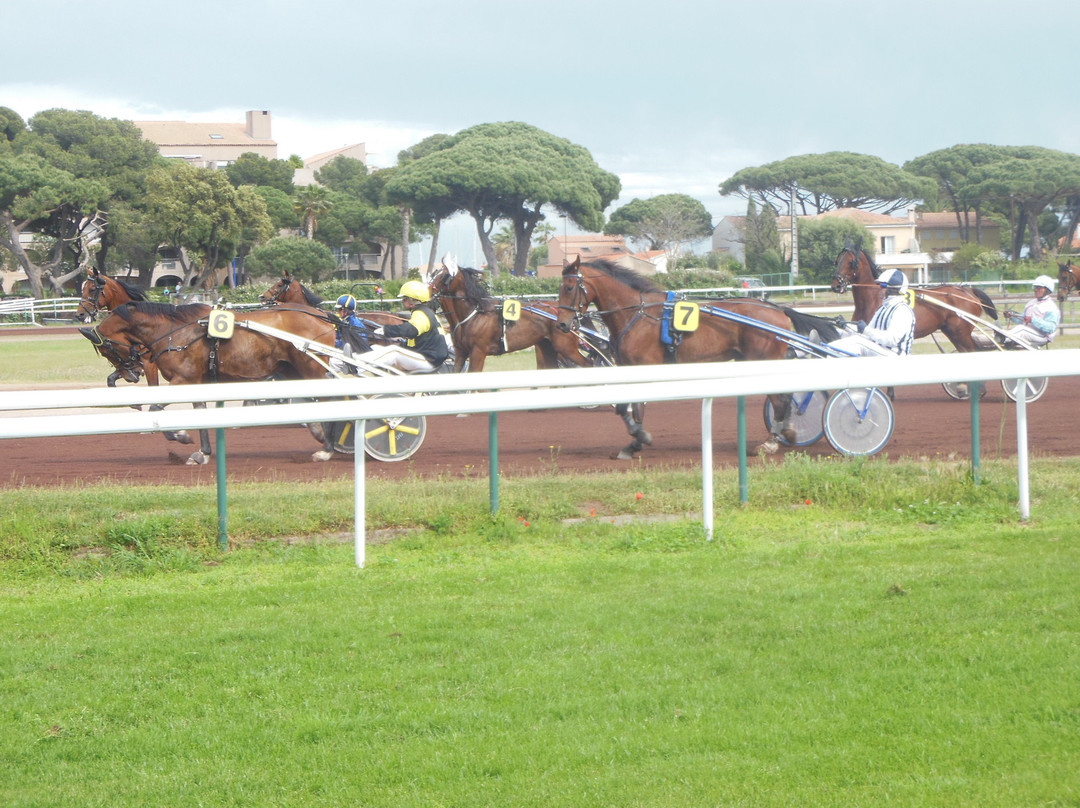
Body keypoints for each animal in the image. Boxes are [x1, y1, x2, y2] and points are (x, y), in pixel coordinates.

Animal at [81, 301, 344, 464]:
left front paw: (181, 435)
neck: (175, 331)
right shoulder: (195, 382)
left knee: (331, 399)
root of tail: (323, 315)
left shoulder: (182, 379)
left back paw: (327, 449)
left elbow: (155, 409)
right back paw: (318, 432)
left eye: (107, 350)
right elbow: (200, 415)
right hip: (292, 369)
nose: (132, 374)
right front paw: (203, 453)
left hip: (312, 366)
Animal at [427, 258, 592, 373]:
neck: (473, 315)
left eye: (443, 276)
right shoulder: (461, 353)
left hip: (566, 347)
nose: (426, 292)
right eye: (434, 273)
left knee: (588, 364)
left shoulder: (478, 352)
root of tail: (571, 313)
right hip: (547, 347)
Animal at [556, 257, 823, 459]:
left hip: (761, 360)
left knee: (780, 399)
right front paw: (632, 443)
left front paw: (638, 440)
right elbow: (623, 407)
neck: (636, 314)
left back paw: (771, 442)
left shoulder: (642, 365)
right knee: (784, 395)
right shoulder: (626, 367)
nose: (562, 324)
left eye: (568, 288)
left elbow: (637, 408)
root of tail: (778, 310)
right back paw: (786, 432)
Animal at [831, 242, 998, 352]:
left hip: (961, 333)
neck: (874, 298)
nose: (836, 285)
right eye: (837, 261)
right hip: (953, 333)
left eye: (851, 262)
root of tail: (968, 291)